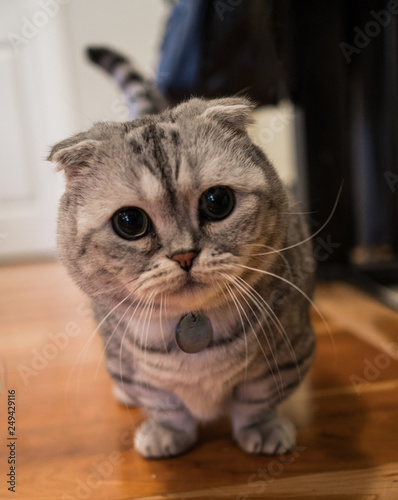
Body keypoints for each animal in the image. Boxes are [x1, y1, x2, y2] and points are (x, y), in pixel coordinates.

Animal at [47, 48, 314, 458]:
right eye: (129, 221)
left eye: (217, 201)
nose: (185, 256)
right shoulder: (135, 369)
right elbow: (165, 405)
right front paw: (167, 434)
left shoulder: (288, 354)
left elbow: (257, 400)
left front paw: (263, 430)